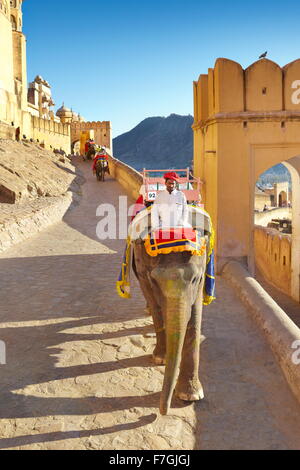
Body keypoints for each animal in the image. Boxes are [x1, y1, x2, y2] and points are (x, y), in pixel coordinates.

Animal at [134, 235, 209, 414]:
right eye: (154, 280)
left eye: (195, 279)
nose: (162, 412)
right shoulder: (142, 268)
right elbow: (155, 305)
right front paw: (160, 358)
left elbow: (195, 314)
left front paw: (191, 395)